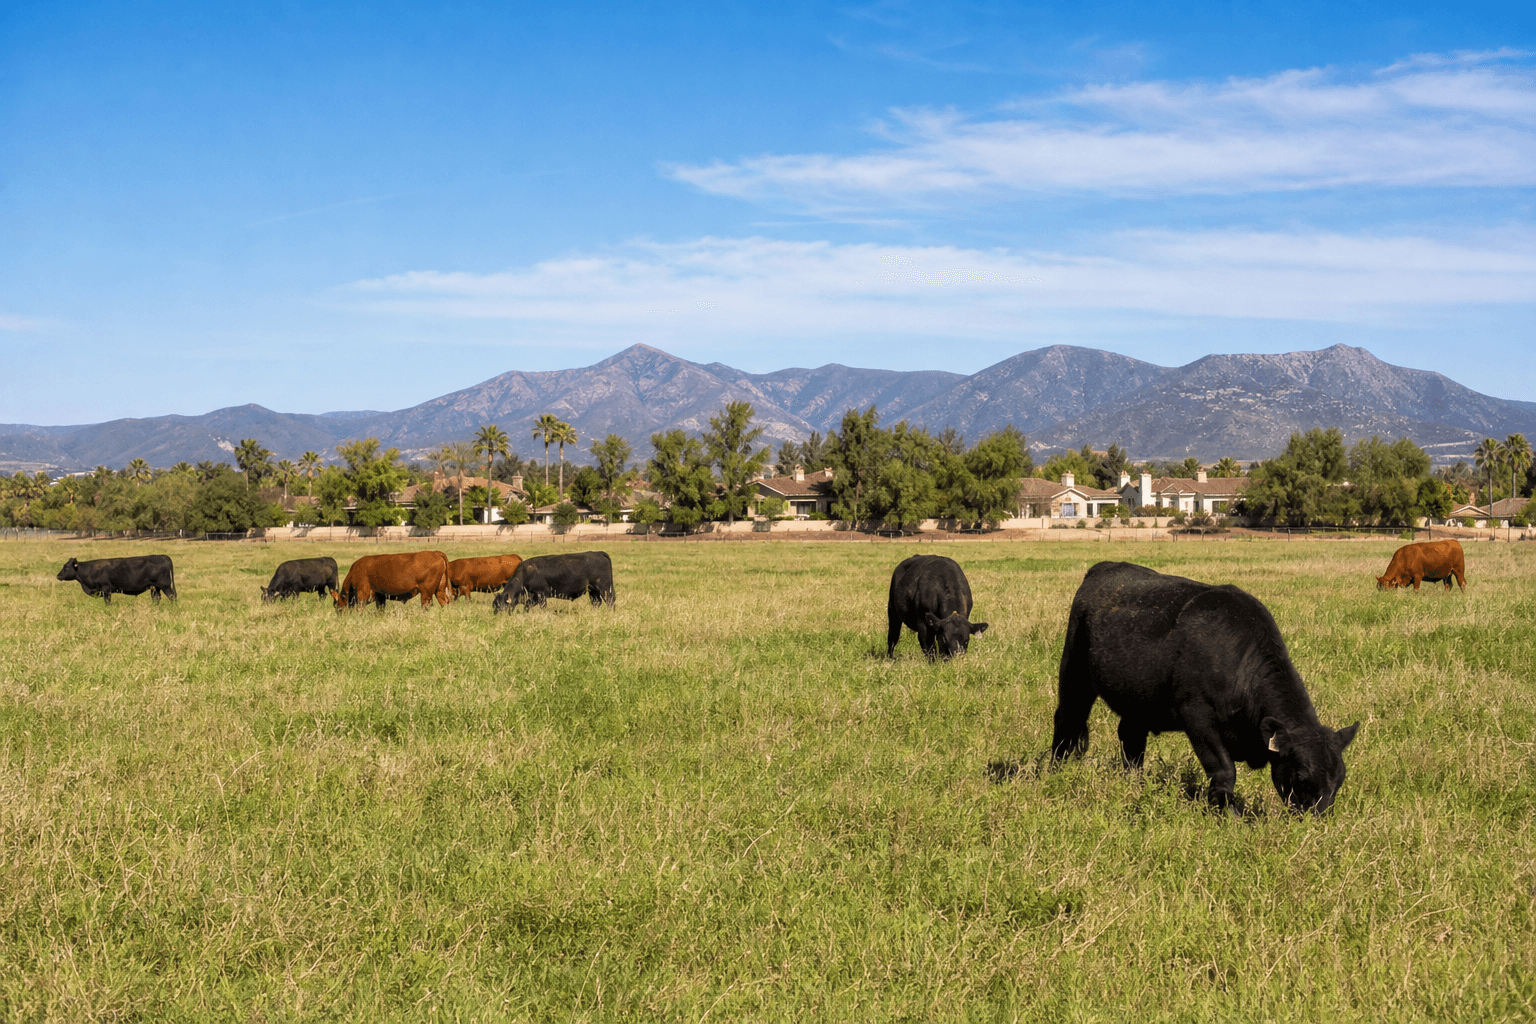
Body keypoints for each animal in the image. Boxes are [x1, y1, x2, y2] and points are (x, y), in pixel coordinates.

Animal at [1051, 561, 1359, 816]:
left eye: (1340, 779)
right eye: (1302, 776)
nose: (1316, 820)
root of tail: (1104, 567)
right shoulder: (1198, 717)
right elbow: (1224, 769)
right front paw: (1228, 814)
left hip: (1138, 698)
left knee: (1131, 737)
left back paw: (1135, 783)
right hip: (1074, 670)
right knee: (1067, 720)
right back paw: (1054, 771)